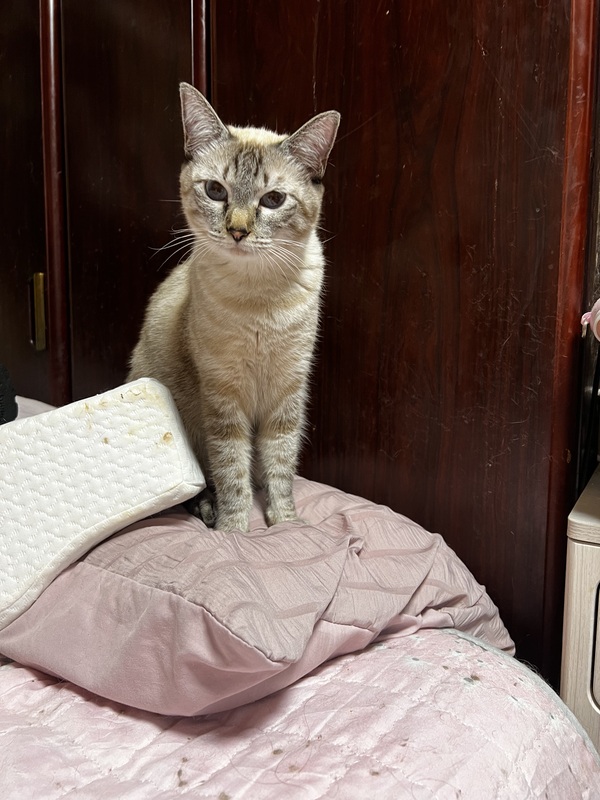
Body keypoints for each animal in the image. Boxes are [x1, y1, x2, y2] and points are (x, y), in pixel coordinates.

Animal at [128, 83, 340, 532]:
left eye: (273, 199)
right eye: (215, 191)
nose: (238, 231)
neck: (258, 295)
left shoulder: (286, 393)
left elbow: (280, 467)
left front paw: (286, 524)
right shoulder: (223, 397)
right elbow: (232, 470)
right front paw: (234, 530)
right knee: (203, 485)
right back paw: (208, 510)